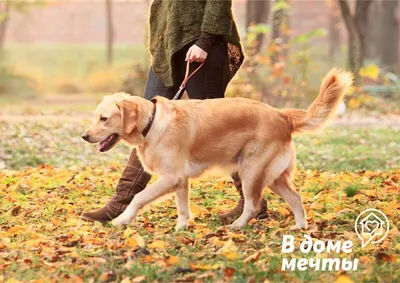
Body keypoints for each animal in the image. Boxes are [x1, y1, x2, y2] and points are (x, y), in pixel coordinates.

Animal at [83, 69, 352, 231]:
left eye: (104, 119)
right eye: (96, 117)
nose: (84, 136)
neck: (152, 122)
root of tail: (282, 115)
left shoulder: (171, 177)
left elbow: (139, 197)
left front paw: (122, 219)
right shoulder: (180, 181)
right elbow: (182, 208)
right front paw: (182, 227)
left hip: (252, 171)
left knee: (253, 205)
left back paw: (237, 226)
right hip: (274, 175)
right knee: (296, 197)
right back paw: (300, 227)